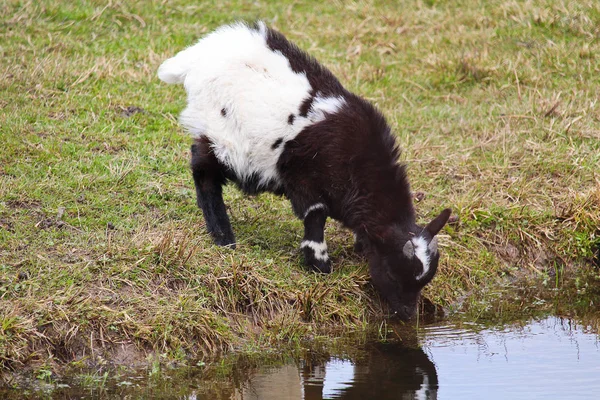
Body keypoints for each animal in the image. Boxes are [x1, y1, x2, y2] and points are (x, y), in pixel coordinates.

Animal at [159, 22, 450, 322]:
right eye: (393, 274)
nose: (408, 315)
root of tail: (197, 56)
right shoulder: (304, 179)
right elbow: (316, 215)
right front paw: (319, 263)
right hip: (220, 135)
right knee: (204, 172)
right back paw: (223, 237)